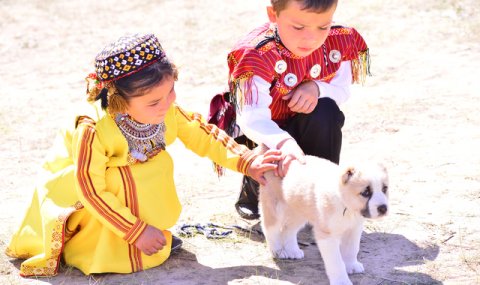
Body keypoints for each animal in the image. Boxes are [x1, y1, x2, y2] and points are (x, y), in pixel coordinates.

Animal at [258, 155, 390, 284]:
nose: (383, 208)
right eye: (365, 192)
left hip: (299, 211)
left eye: (384, 189)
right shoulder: (328, 235)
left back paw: (293, 251)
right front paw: (341, 280)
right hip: (276, 208)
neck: (345, 205)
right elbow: (336, 262)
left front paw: (351, 265)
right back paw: (278, 251)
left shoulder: (354, 229)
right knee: (270, 229)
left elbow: (352, 249)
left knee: (288, 229)